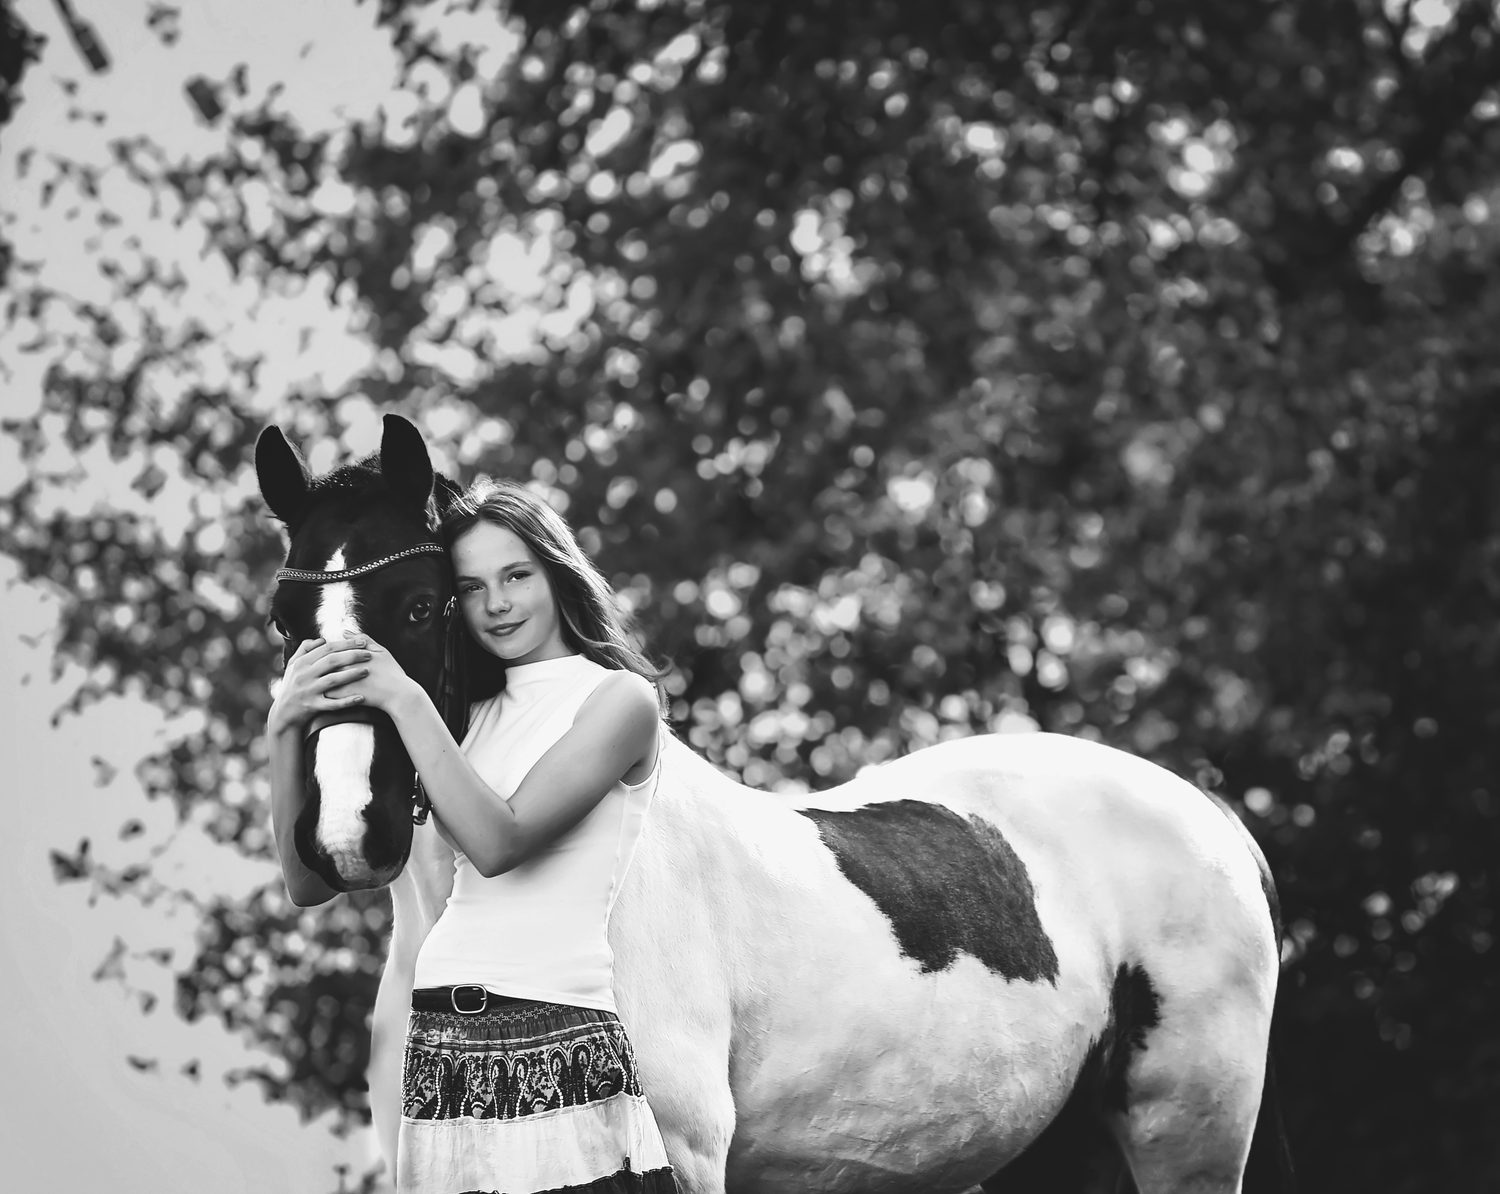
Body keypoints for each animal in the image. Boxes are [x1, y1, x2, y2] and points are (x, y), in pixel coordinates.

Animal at [256, 414, 1293, 1194]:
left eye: (423, 603)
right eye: (285, 622)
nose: (344, 833)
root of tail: (1215, 824)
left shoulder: (684, 1155)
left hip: (1186, 1145)